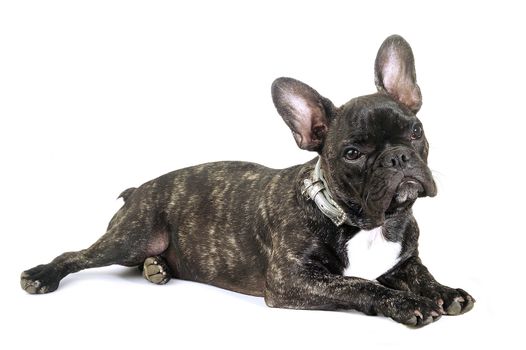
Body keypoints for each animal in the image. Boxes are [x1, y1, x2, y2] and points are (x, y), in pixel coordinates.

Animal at [20, 34, 476, 326]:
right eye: (353, 153)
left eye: (414, 131)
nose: (398, 157)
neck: (364, 222)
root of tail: (140, 189)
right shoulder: (294, 281)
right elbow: (359, 284)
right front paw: (404, 302)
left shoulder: (406, 259)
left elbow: (420, 273)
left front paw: (445, 291)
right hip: (133, 235)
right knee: (77, 255)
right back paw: (43, 275)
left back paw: (157, 268)